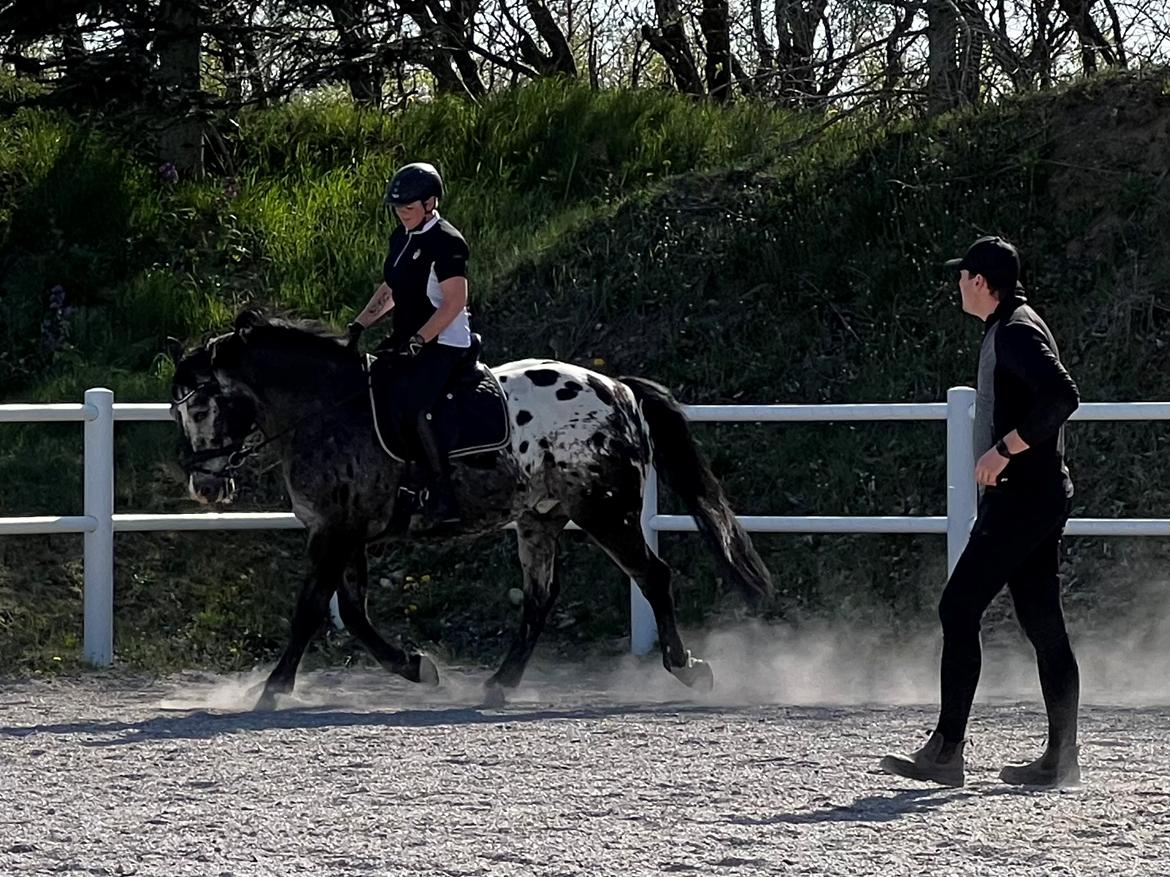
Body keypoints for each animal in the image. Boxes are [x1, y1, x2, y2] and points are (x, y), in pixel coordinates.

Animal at [169, 313, 772, 710]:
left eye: (199, 408)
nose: (204, 486)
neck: (325, 410)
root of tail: (617, 389)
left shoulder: (335, 533)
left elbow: (312, 608)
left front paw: (272, 689)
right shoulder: (346, 533)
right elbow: (355, 614)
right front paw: (417, 668)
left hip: (607, 513)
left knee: (653, 576)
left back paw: (688, 670)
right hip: (539, 518)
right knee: (540, 598)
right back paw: (500, 684)